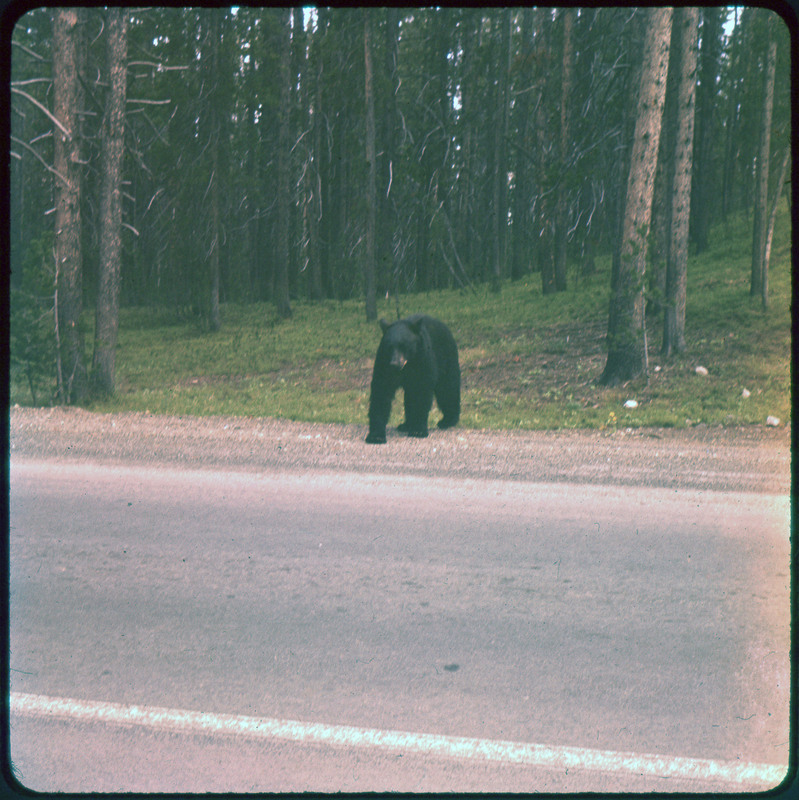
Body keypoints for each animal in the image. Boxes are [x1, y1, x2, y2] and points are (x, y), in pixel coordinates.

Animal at [366, 314, 460, 444]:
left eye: (403, 345)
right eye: (390, 346)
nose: (394, 364)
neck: (408, 364)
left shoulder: (423, 360)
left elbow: (422, 394)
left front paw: (418, 430)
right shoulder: (384, 362)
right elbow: (381, 392)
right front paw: (376, 435)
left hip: (446, 358)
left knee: (448, 389)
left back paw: (448, 420)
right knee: (409, 397)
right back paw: (406, 425)